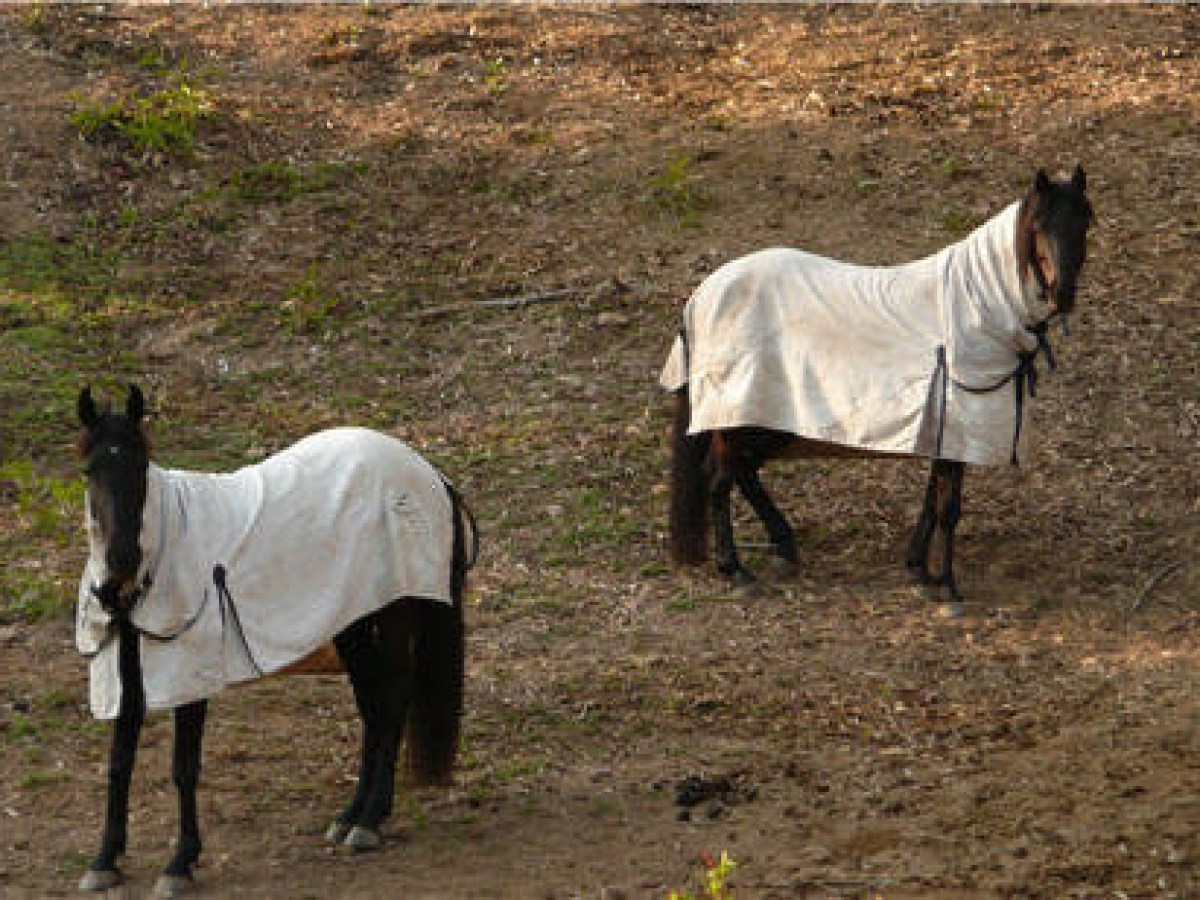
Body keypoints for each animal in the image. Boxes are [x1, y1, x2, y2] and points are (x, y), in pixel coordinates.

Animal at [74, 385, 478, 897]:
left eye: (140, 466)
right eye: (90, 471)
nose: (121, 563)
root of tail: (429, 473)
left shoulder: (191, 675)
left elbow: (184, 767)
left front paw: (180, 863)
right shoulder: (129, 671)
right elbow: (119, 762)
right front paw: (105, 858)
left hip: (394, 617)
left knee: (391, 704)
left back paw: (369, 822)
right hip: (351, 620)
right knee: (374, 707)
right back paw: (350, 817)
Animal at [663, 167, 1093, 609]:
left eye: (1086, 222)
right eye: (1039, 226)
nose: (1062, 294)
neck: (975, 305)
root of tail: (703, 294)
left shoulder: (944, 431)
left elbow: (932, 501)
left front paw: (920, 571)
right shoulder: (957, 426)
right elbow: (948, 507)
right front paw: (948, 587)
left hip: (770, 420)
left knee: (743, 472)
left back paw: (783, 548)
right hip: (742, 417)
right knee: (719, 478)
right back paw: (736, 571)